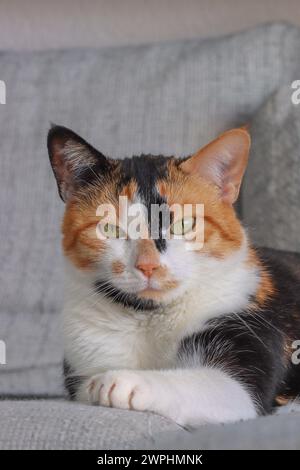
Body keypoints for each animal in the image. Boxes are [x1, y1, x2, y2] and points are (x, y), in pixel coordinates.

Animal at [48, 124, 300, 426]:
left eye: (184, 224)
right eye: (109, 229)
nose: (148, 266)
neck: (150, 319)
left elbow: (205, 384)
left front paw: (120, 382)